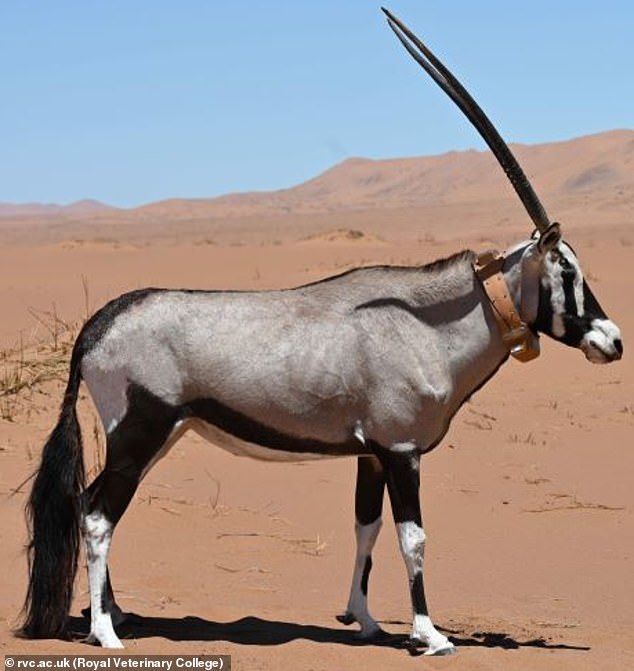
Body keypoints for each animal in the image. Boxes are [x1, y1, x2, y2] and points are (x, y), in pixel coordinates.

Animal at [21, 8, 622, 656]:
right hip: (141, 431)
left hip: (160, 437)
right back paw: (106, 633)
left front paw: (364, 619)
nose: (612, 341)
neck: (430, 325)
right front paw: (429, 635)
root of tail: (97, 325)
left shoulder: (372, 455)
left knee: (93, 504)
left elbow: (367, 526)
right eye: (567, 270)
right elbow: (413, 536)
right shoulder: (403, 451)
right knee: (97, 515)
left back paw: (116, 613)